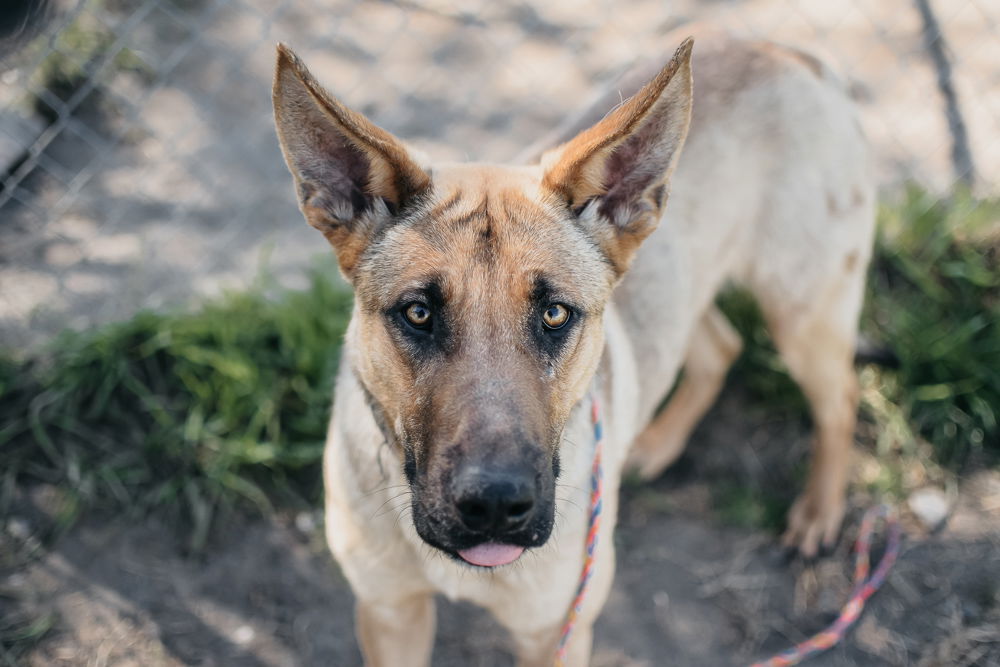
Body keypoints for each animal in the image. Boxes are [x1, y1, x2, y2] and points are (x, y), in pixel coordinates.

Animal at [274, 30, 876, 667]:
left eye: (554, 313)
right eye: (418, 313)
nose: (495, 505)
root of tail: (784, 50)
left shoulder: (553, 635)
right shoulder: (390, 614)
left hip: (802, 311)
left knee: (840, 398)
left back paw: (818, 512)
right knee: (721, 346)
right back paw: (656, 444)